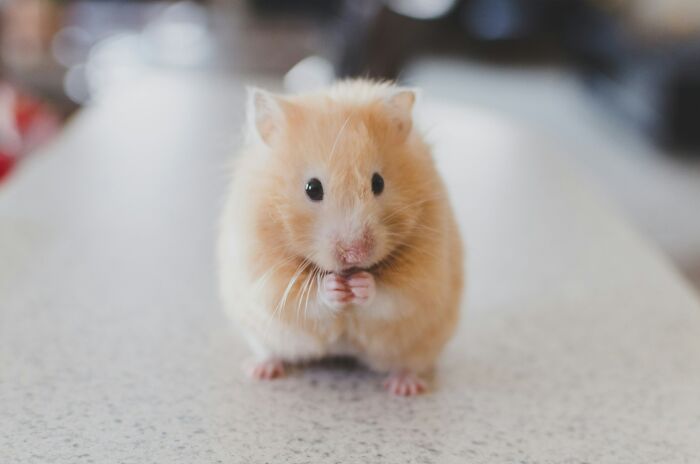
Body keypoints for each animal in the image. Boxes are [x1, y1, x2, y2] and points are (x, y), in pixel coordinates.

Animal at [218, 79, 464, 396]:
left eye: (378, 183)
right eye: (312, 188)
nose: (355, 254)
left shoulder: (423, 276)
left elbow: (391, 296)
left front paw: (361, 285)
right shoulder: (265, 275)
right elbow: (305, 298)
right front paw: (334, 287)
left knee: (409, 363)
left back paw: (405, 387)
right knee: (270, 351)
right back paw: (260, 370)